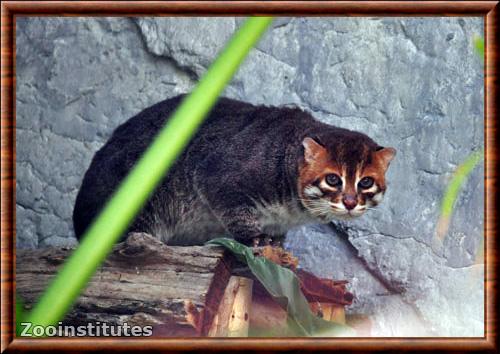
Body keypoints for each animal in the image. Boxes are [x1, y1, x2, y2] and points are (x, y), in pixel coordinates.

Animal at [72, 97, 396, 246]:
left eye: (366, 182)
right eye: (333, 178)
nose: (351, 202)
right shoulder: (217, 176)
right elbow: (236, 213)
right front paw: (255, 239)